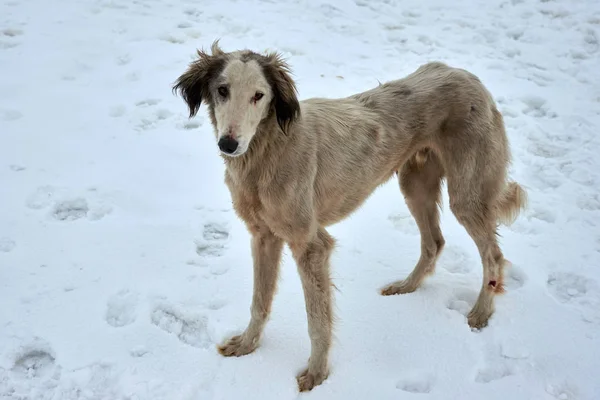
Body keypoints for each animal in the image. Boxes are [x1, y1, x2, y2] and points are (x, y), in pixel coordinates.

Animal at [172, 40, 524, 390]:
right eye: (222, 90)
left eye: (258, 95)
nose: (229, 144)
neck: (269, 149)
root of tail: (466, 75)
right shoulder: (264, 236)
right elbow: (259, 302)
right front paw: (247, 346)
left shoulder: (311, 245)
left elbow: (317, 320)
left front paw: (316, 374)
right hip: (415, 182)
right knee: (434, 242)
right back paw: (406, 287)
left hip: (466, 195)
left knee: (493, 255)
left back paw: (480, 313)